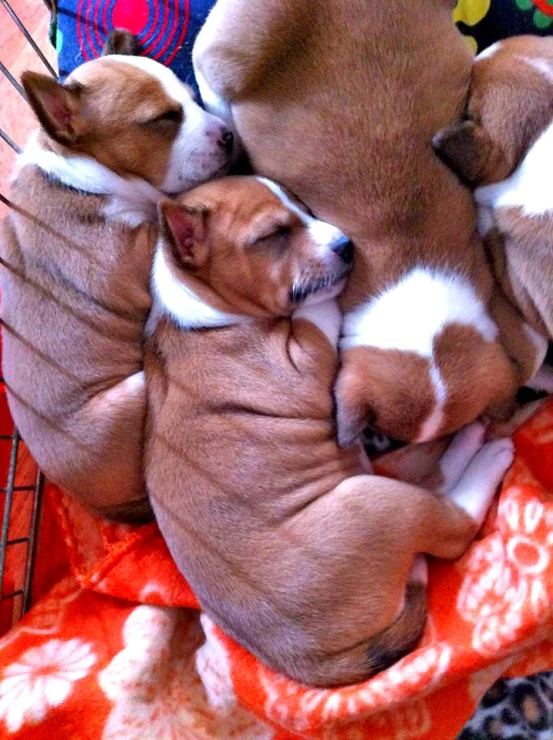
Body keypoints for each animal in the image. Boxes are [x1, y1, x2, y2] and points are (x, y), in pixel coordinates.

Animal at [0, 30, 233, 520]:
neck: (80, 172)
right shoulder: (136, 247)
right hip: (134, 393)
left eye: (192, 99)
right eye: (163, 119)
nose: (228, 135)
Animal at [143, 173, 512, 688]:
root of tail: (314, 662)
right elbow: (320, 309)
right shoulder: (306, 352)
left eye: (302, 207)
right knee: (453, 524)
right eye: (272, 235)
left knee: (434, 484)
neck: (200, 316)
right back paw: (485, 451)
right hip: (378, 503)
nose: (346, 245)